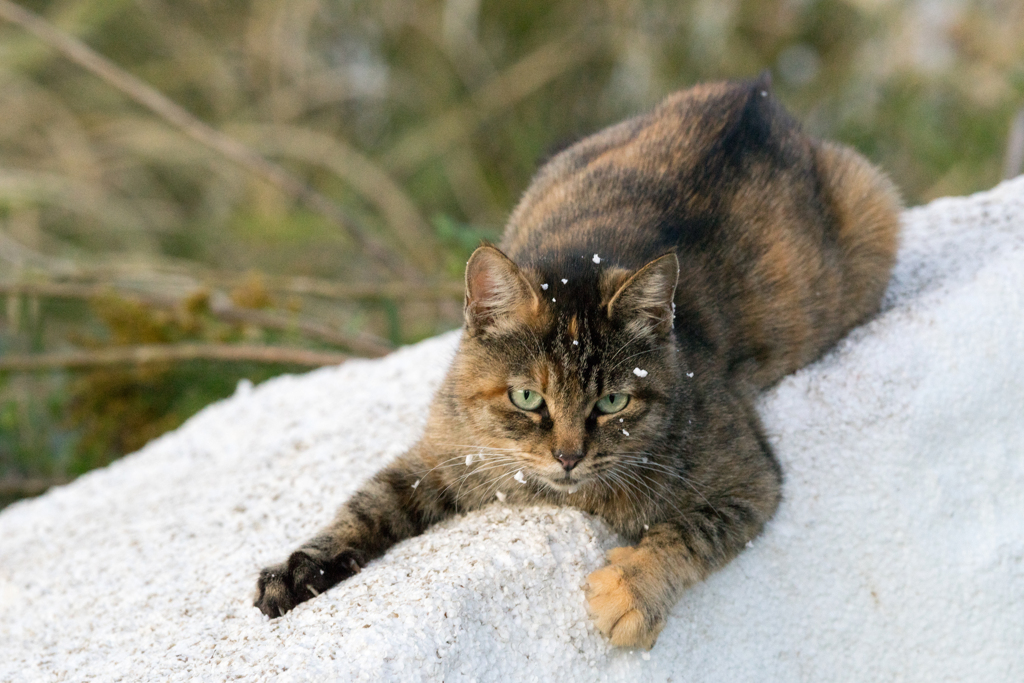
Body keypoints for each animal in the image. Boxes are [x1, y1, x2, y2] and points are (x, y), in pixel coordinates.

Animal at [251, 76, 901, 651]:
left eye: (612, 401)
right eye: (527, 398)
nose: (568, 457)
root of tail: (751, 88)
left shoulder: (748, 478)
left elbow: (687, 534)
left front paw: (631, 591)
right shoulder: (441, 453)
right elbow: (366, 504)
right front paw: (298, 568)